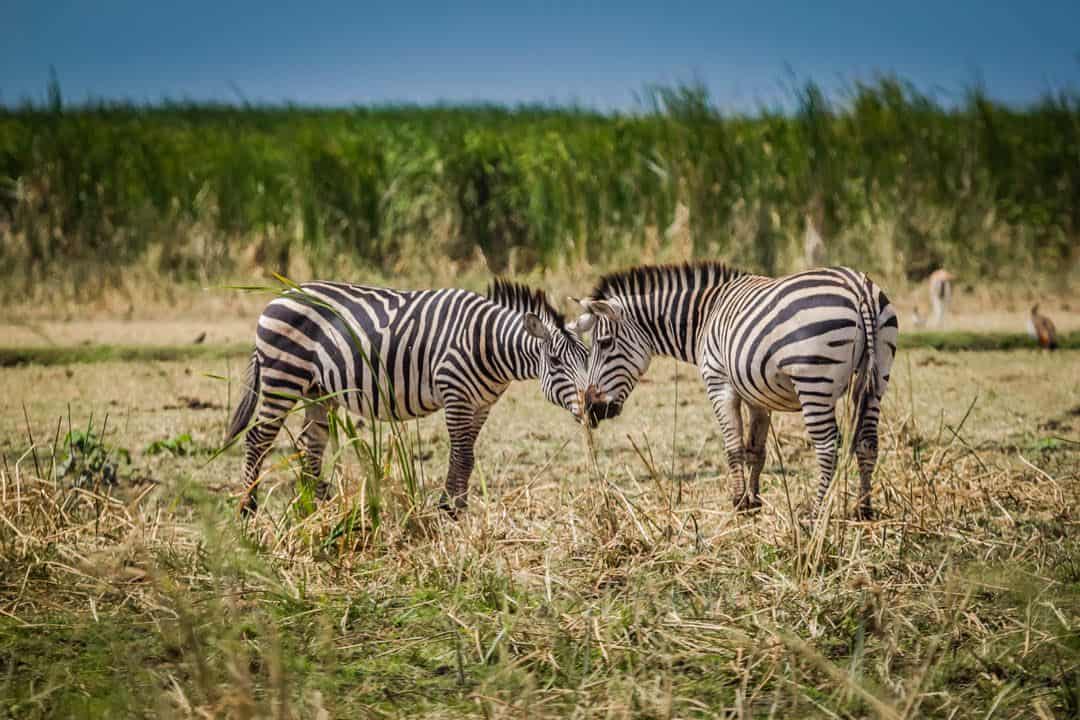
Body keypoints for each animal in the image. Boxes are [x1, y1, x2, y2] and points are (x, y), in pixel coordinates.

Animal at [223, 279, 589, 516]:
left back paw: (316, 506)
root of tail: (280, 295)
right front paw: (449, 510)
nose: (594, 408)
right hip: (283, 376)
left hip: (318, 389)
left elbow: (468, 457)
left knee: (310, 443)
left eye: (588, 359)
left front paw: (458, 507)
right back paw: (247, 507)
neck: (487, 343)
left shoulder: (481, 405)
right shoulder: (455, 394)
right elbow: (461, 456)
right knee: (258, 439)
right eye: (555, 362)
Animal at [572, 263, 898, 520]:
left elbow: (733, 447)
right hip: (877, 376)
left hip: (814, 381)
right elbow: (756, 449)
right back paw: (863, 509)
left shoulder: (719, 384)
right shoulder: (757, 394)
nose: (590, 409)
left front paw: (739, 501)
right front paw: (754, 501)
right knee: (868, 442)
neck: (704, 317)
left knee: (828, 445)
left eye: (603, 343)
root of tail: (858, 288)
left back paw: (815, 512)